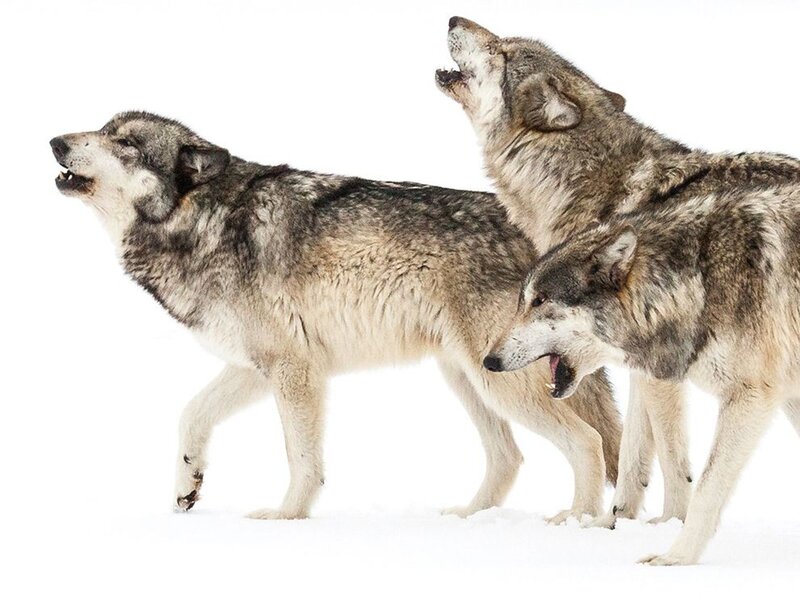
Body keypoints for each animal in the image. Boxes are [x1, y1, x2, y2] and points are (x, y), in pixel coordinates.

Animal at [49, 112, 621, 522]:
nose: (55, 141)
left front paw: (285, 517)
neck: (204, 223)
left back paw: (578, 521)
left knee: (587, 442)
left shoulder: (294, 370)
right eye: (103, 130)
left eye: (126, 143)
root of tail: (558, 240)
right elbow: (191, 414)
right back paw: (466, 518)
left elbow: (302, 458)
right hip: (466, 377)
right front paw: (188, 488)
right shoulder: (256, 367)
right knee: (509, 457)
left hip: (498, 381)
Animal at [436, 16, 713, 528]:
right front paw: (615, 521)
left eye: (502, 51)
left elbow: (671, 454)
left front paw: (671, 524)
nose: (453, 19)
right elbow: (633, 453)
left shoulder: (661, 364)